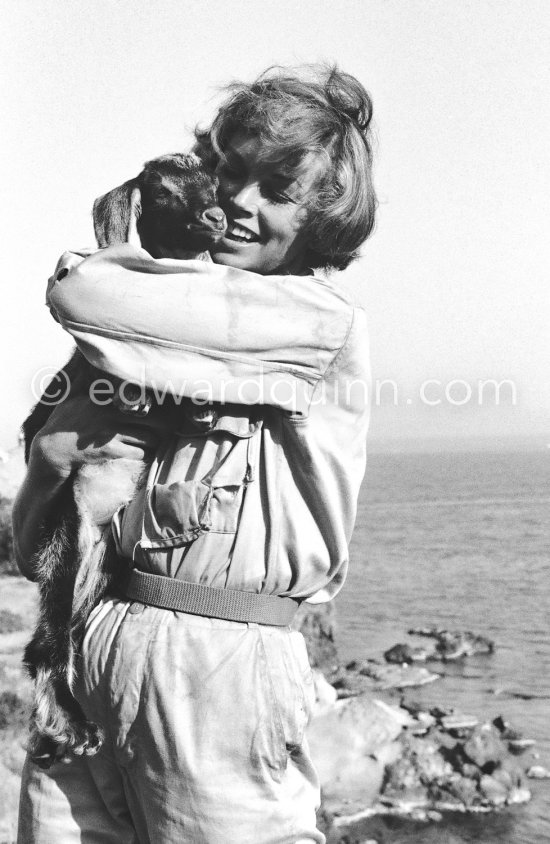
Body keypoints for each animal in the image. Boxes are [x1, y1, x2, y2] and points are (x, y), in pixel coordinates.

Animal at [22, 150, 227, 764]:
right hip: (65, 535)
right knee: (46, 647)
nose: (215, 218)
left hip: (103, 567)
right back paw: (75, 727)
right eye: (159, 192)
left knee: (58, 638)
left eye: (215, 183)